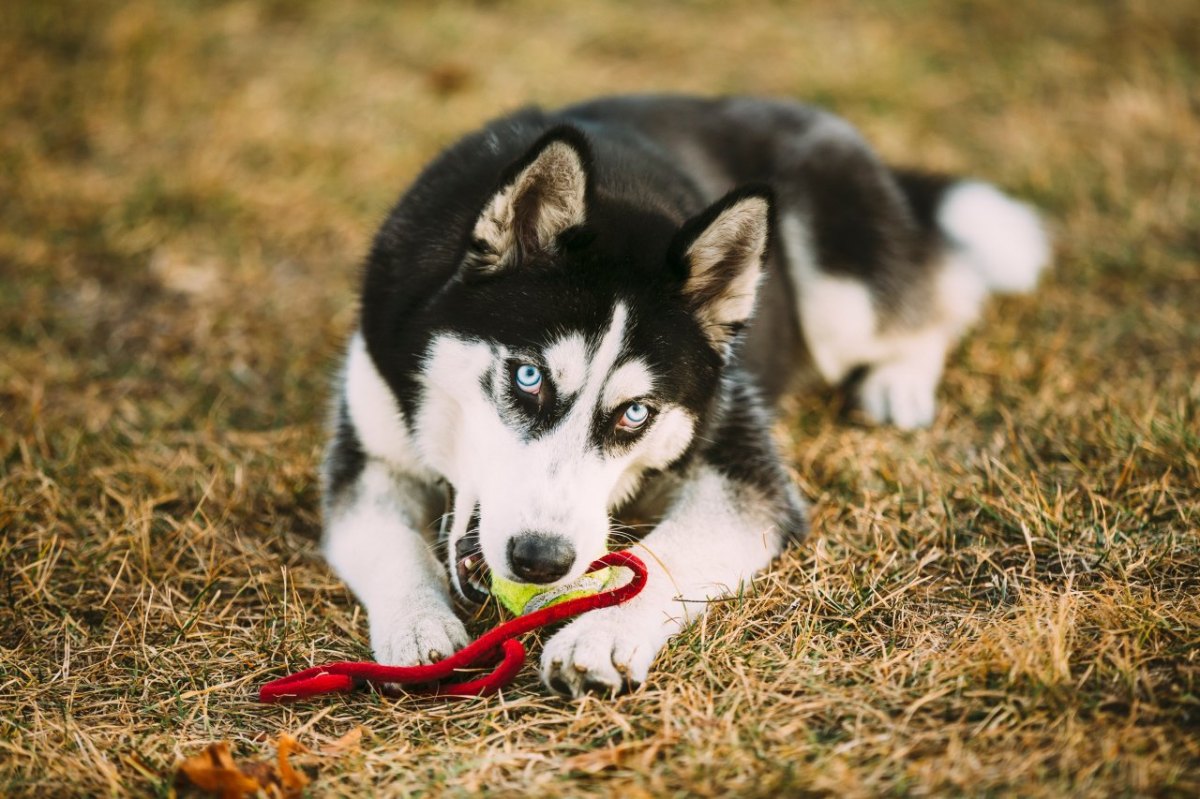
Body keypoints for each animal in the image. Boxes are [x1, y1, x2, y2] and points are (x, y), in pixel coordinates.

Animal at [321, 91, 1051, 691]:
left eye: (635, 413)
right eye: (528, 377)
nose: (540, 559)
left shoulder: (743, 465)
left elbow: (668, 551)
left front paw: (600, 633)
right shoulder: (369, 451)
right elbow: (385, 540)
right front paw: (416, 628)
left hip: (844, 298)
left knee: (944, 293)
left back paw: (900, 380)